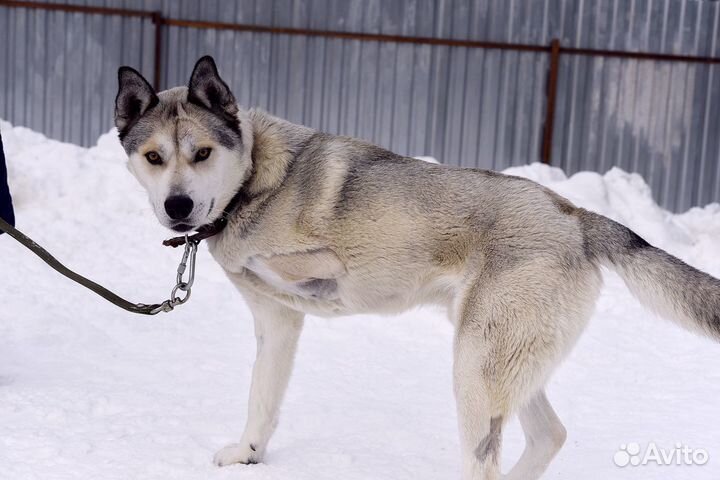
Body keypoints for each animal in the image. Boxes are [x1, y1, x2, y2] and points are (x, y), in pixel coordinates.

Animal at [114, 57, 720, 480]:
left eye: (203, 153)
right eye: (153, 158)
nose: (177, 207)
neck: (251, 183)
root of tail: (575, 217)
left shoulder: (307, 272)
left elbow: (313, 269)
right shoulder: (277, 322)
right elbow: (261, 400)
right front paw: (248, 454)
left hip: (474, 370)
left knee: (488, 460)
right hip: (502, 364)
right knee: (549, 435)